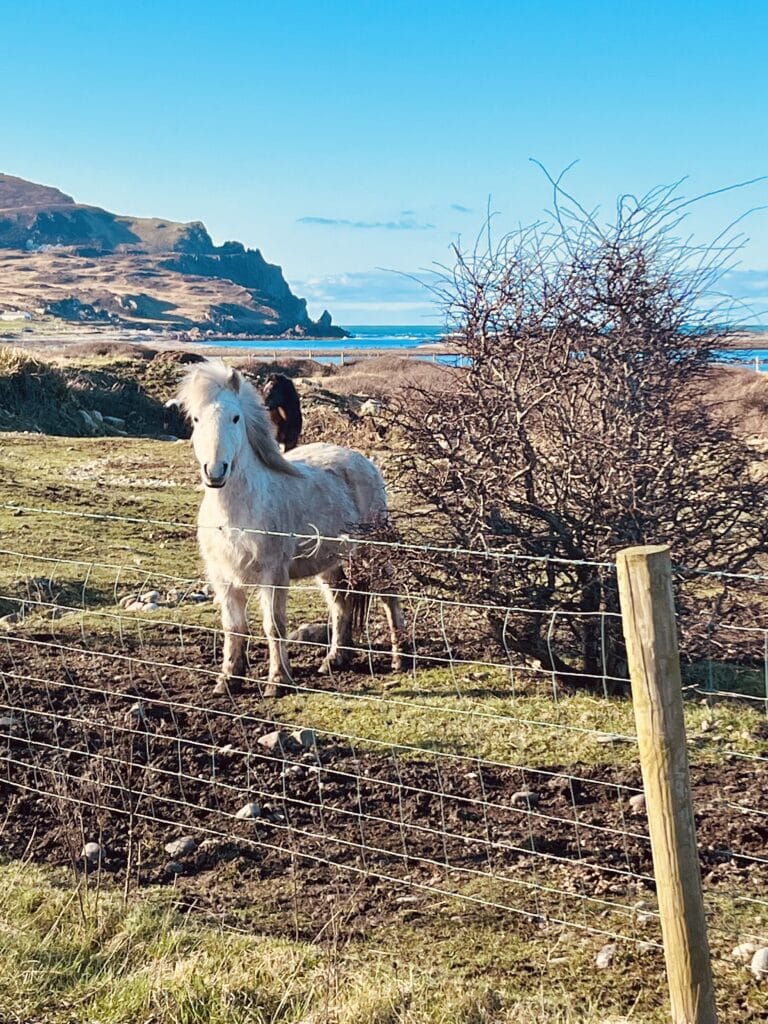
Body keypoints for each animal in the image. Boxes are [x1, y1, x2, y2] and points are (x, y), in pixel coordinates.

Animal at [177, 360, 405, 696]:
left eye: (235, 417)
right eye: (196, 419)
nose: (215, 472)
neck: (235, 514)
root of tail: (363, 462)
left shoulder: (273, 575)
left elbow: (274, 626)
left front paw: (278, 680)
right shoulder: (223, 578)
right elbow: (234, 628)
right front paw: (229, 679)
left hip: (372, 551)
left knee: (389, 594)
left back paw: (400, 658)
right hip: (331, 562)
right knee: (341, 603)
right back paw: (334, 659)